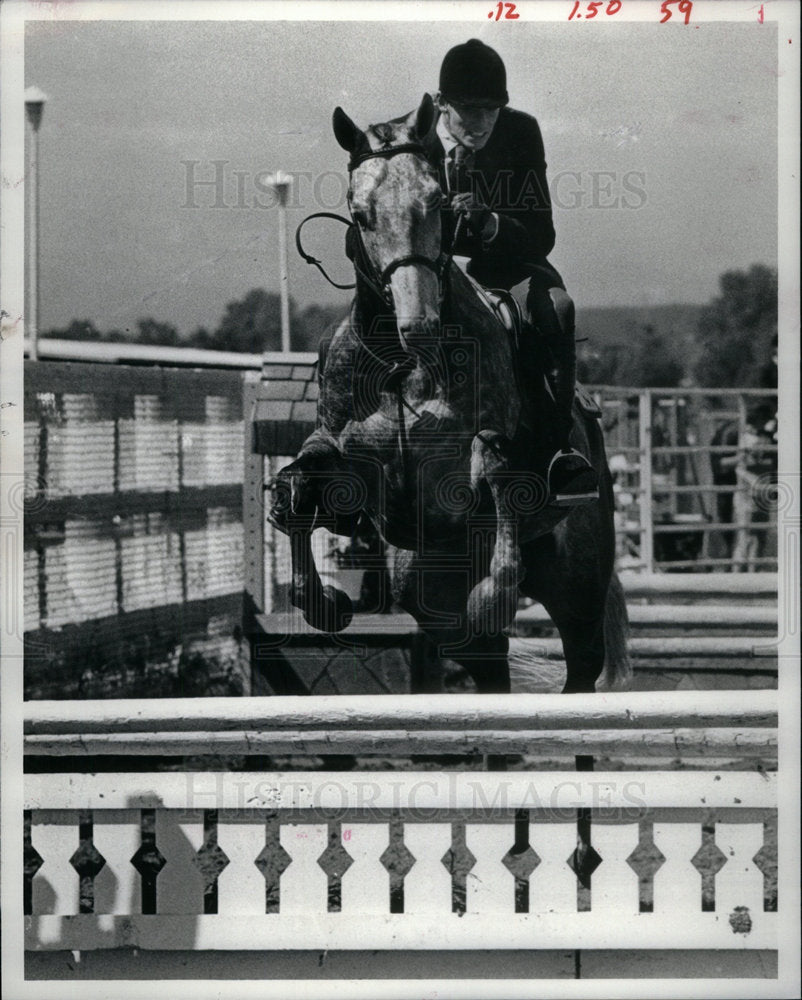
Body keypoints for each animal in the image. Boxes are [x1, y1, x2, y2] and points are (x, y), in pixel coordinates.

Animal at [270, 95, 632, 696]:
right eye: (360, 213)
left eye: (439, 204)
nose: (418, 327)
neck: (397, 367)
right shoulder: (357, 473)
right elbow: (302, 482)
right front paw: (326, 603)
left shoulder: (476, 469)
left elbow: (497, 466)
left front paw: (490, 599)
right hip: (431, 589)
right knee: (485, 660)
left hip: (577, 584)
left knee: (578, 661)